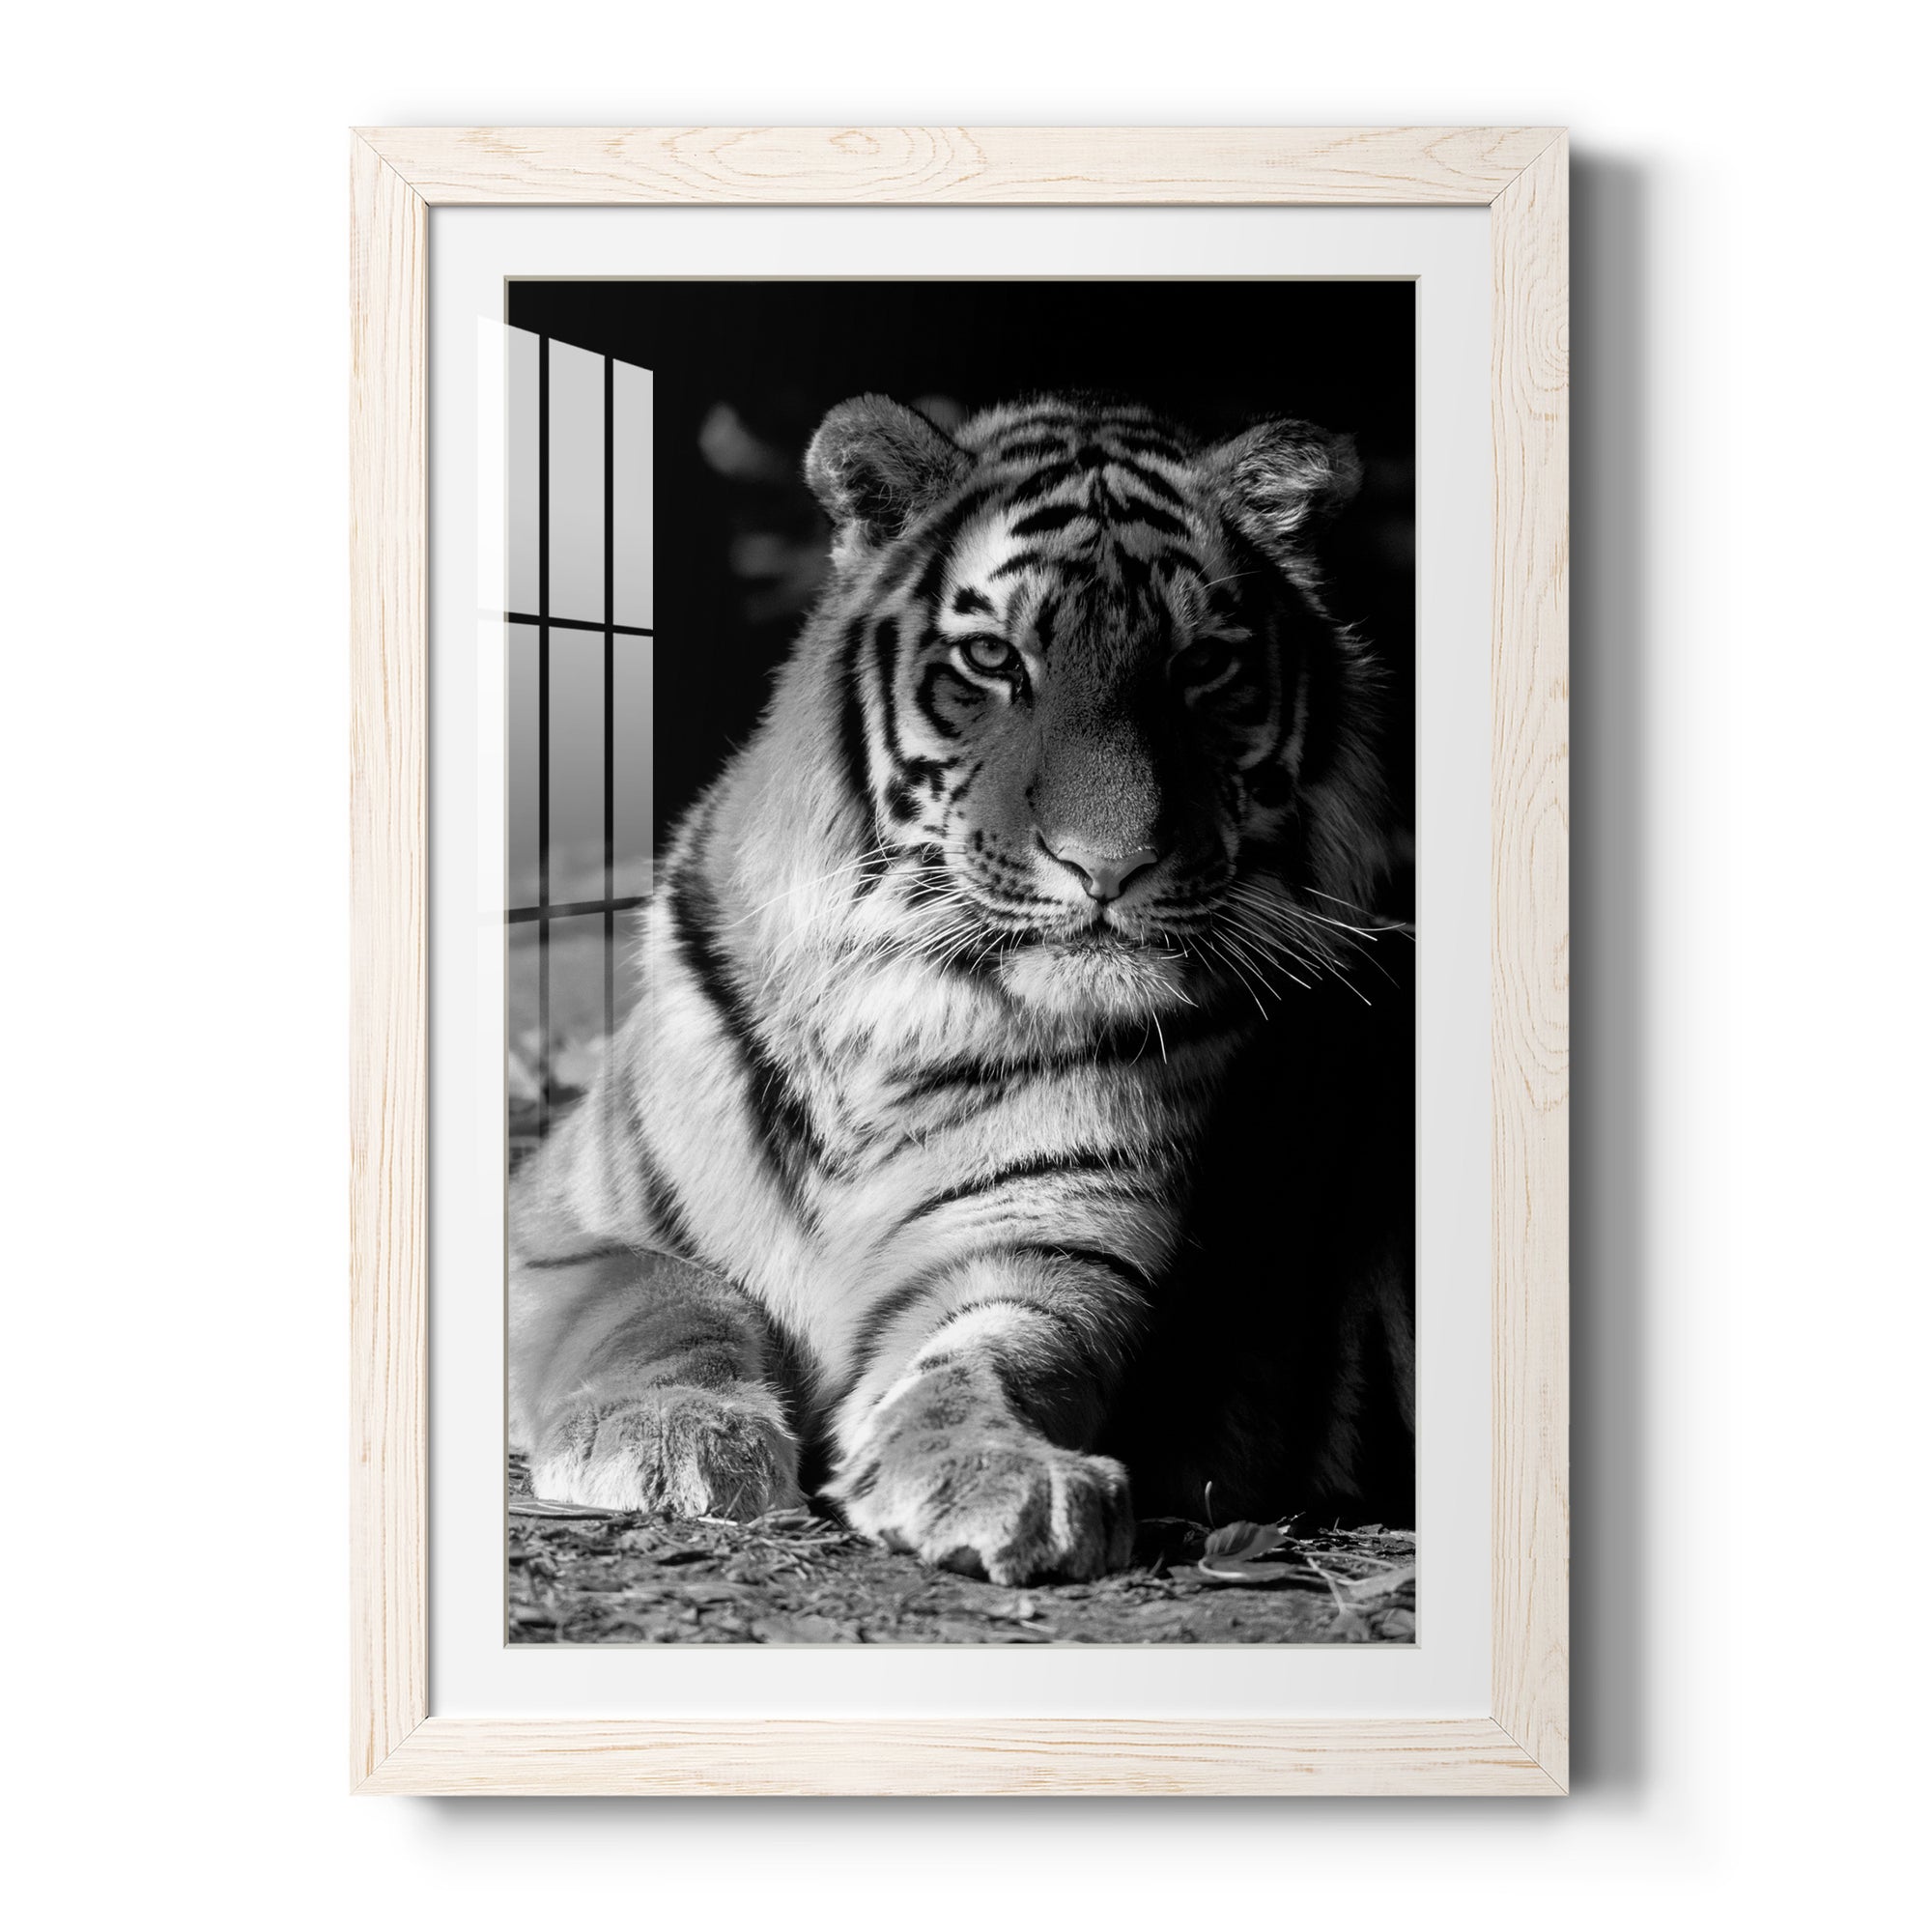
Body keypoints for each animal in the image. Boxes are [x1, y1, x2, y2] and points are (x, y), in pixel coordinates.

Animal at [509, 391, 1414, 1588]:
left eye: (1200, 667)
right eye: (992, 658)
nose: (1108, 865)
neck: (896, 1011)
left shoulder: (1050, 1247)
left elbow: (991, 1355)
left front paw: (999, 1472)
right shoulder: (560, 1219)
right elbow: (664, 1298)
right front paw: (667, 1435)